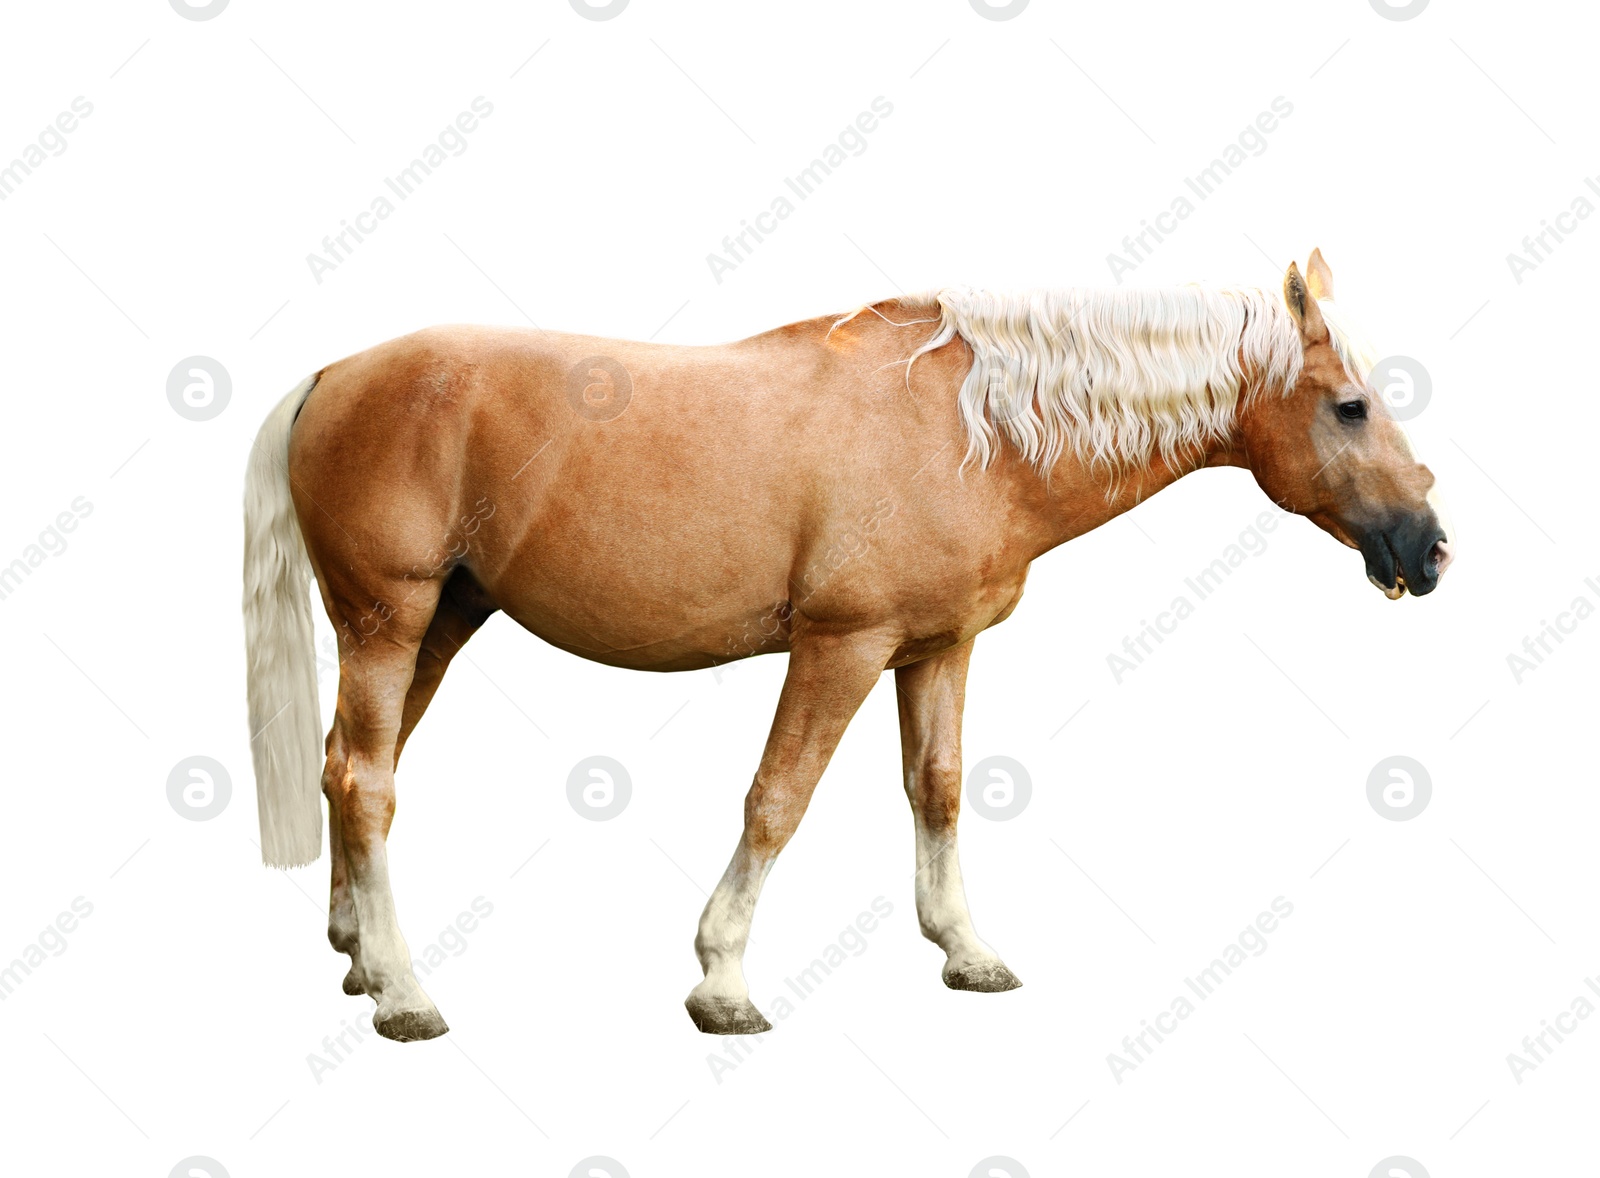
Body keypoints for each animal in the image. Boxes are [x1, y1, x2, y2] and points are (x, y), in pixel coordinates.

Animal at [243, 251, 1459, 1037]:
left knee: (352, 769)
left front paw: (966, 951)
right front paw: (722, 981)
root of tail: (331, 374)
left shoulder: (935, 649)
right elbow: (778, 799)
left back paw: (358, 957)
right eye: (1351, 406)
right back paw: (406, 993)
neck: (973, 431)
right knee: (365, 781)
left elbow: (939, 788)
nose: (1430, 545)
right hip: (388, 619)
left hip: (439, 624)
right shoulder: (843, 645)